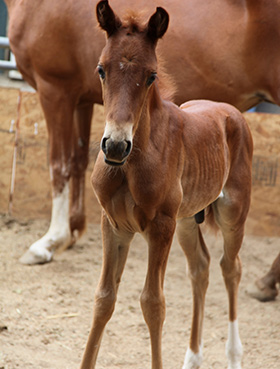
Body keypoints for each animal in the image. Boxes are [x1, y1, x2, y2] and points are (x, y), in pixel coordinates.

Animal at [3, 0, 278, 264]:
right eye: (100, 69)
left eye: (152, 76)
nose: (116, 146)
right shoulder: (81, 100)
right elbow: (78, 161)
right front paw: (72, 233)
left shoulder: (55, 89)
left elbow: (59, 164)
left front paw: (49, 242)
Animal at [80, 1, 253, 366]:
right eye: (101, 69)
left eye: (151, 76)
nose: (115, 146)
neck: (129, 165)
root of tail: (233, 112)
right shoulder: (113, 224)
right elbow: (104, 298)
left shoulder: (160, 227)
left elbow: (153, 304)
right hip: (187, 220)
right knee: (200, 268)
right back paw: (192, 358)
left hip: (232, 214)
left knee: (231, 268)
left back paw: (233, 355)